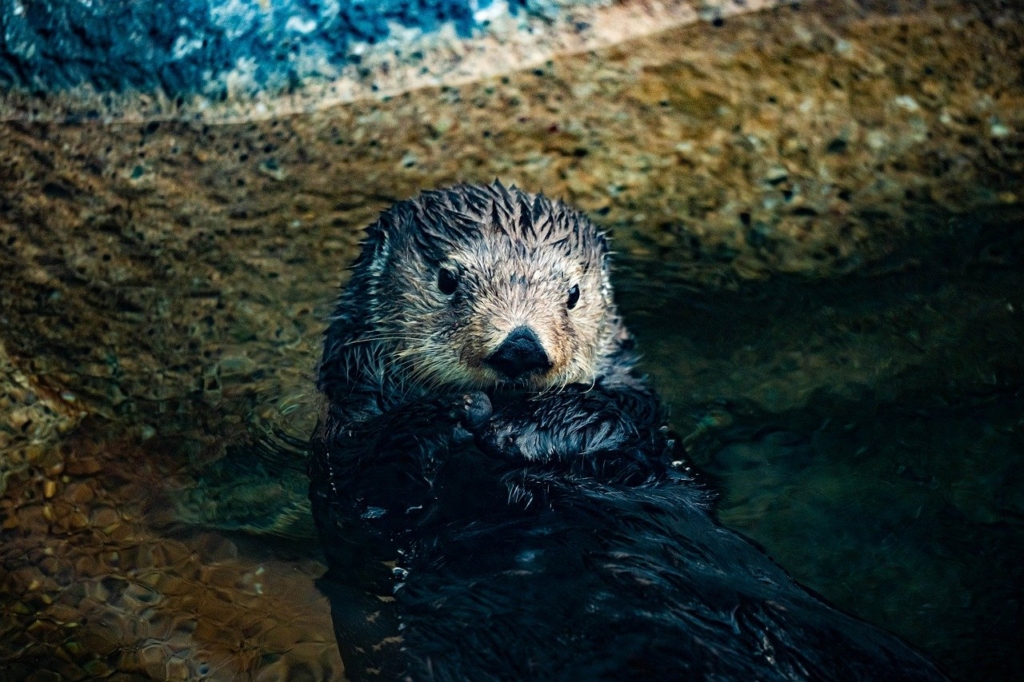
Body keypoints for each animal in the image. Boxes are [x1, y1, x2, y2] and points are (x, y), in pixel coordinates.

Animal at [307, 182, 946, 679]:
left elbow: (616, 420)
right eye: (445, 281)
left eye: (572, 293)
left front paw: (524, 428)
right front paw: (457, 409)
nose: (521, 347)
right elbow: (377, 480)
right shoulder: (343, 465)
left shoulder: (653, 443)